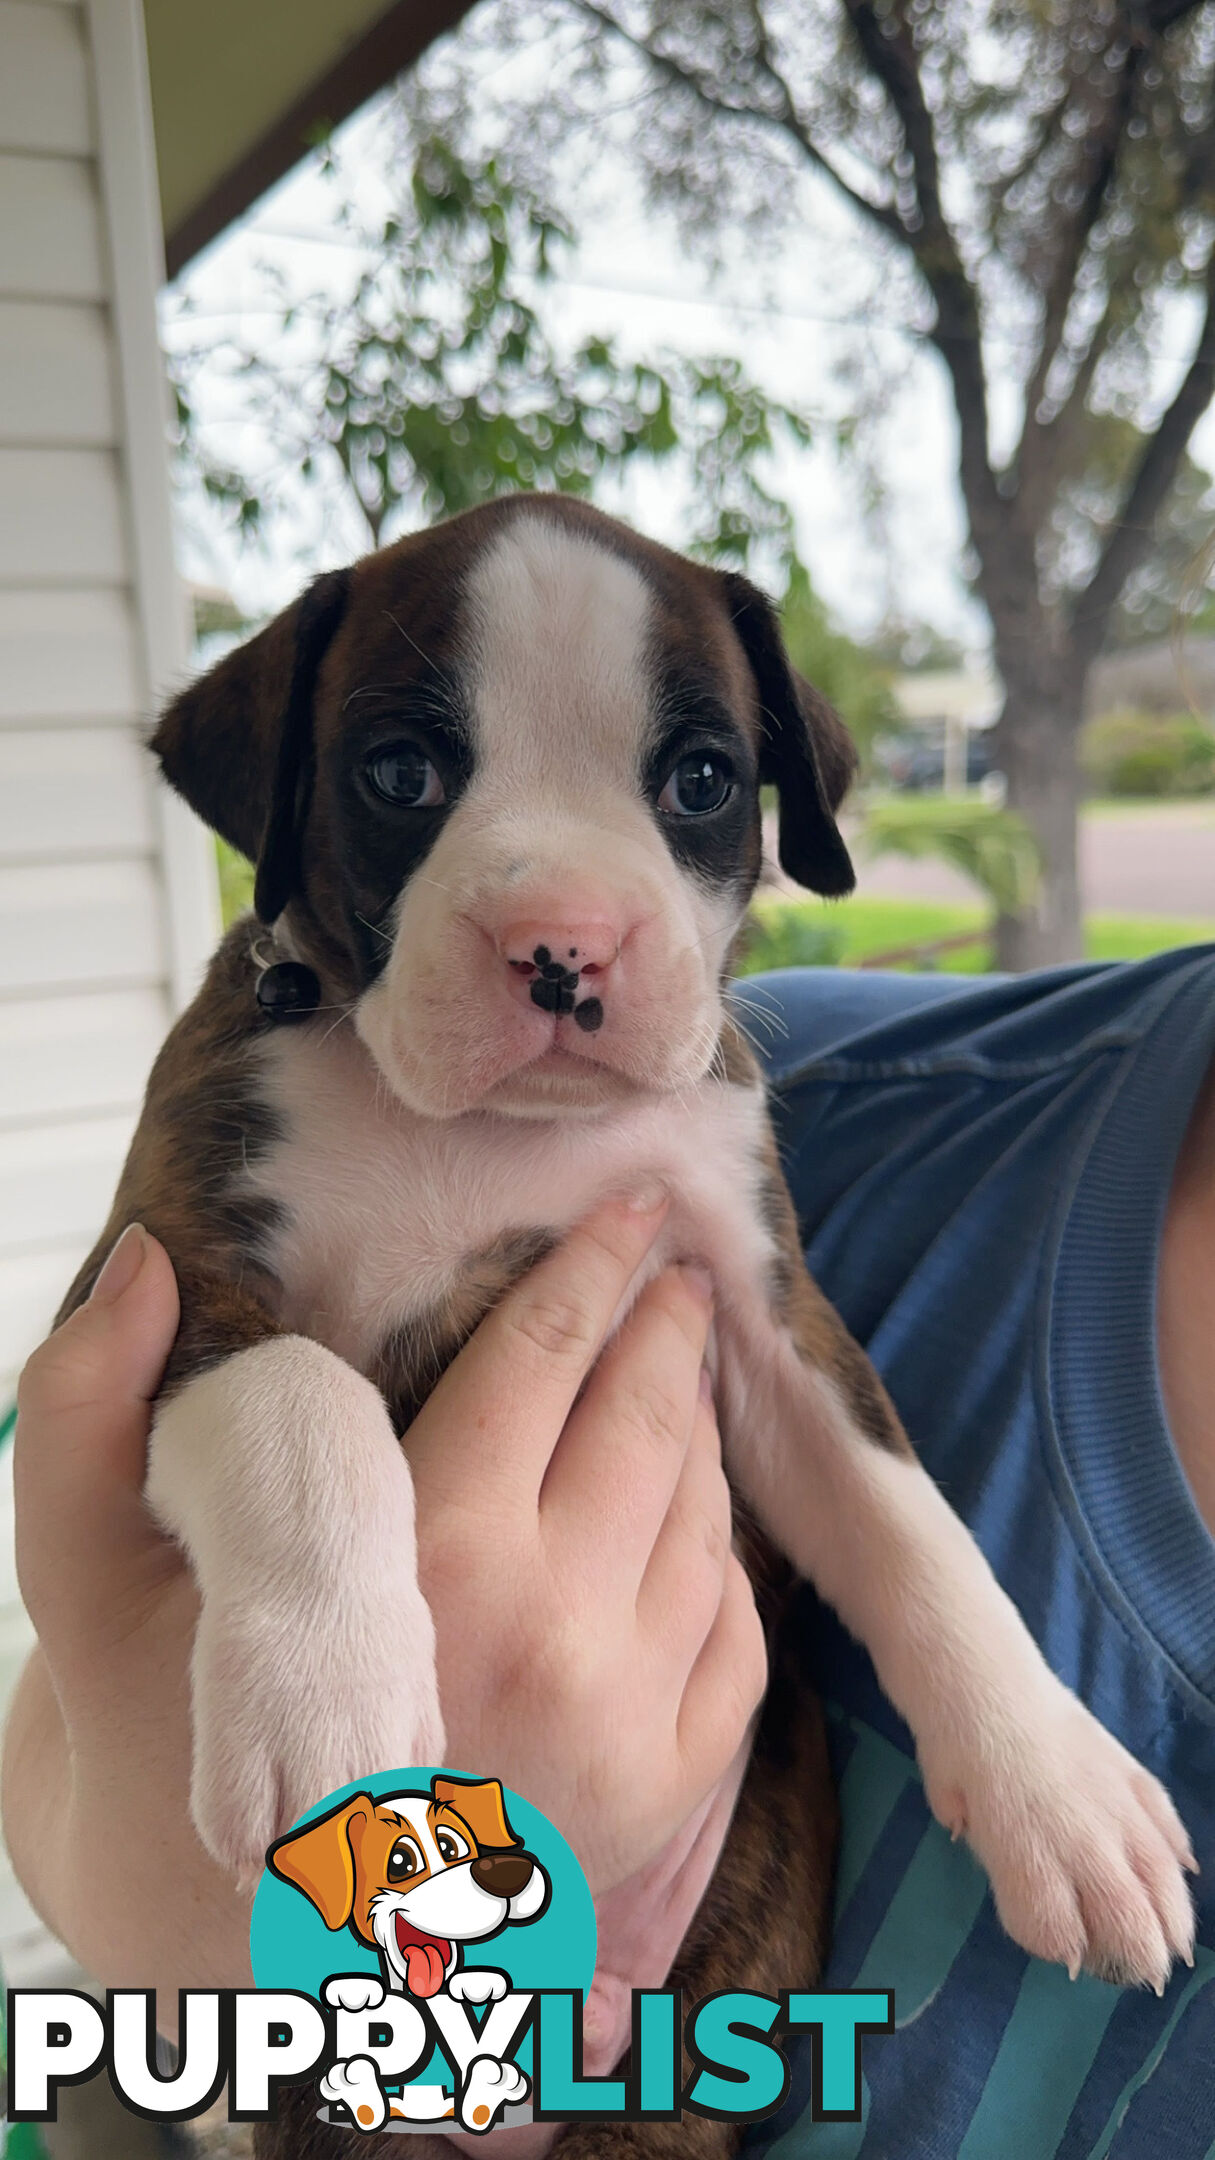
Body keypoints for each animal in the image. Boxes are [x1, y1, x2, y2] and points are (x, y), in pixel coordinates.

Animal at [56, 494, 1184, 2160]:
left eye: (700, 781)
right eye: (398, 774)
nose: (562, 942)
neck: (493, 1137)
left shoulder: (769, 1326)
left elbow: (915, 1535)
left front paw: (1060, 1787)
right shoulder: (166, 1272)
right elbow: (300, 1394)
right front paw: (334, 1705)